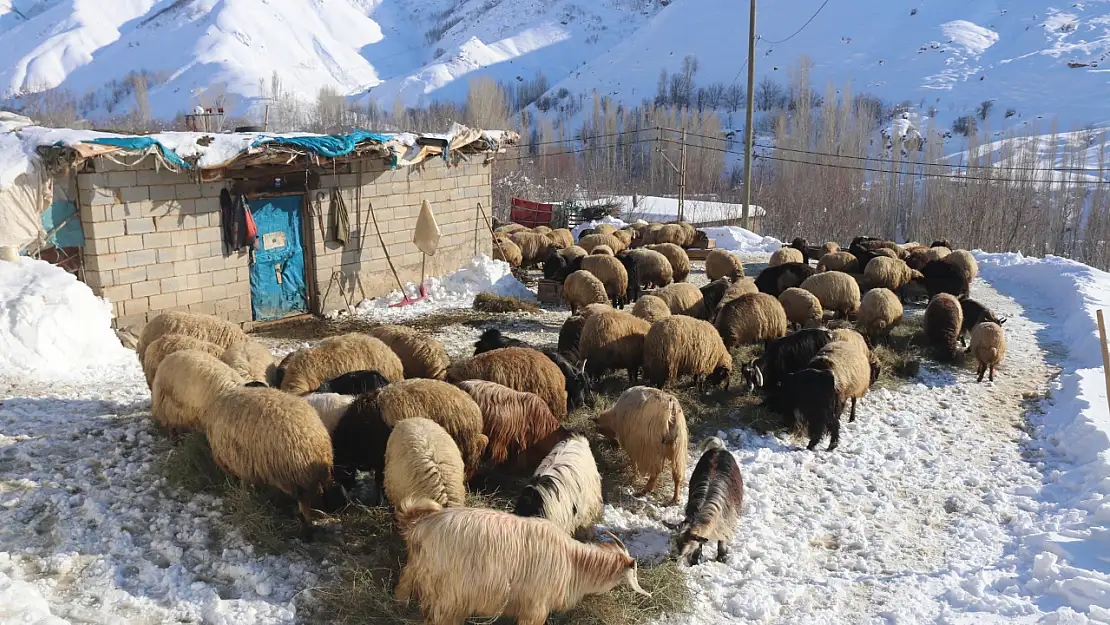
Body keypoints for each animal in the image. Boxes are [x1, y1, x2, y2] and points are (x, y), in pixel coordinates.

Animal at [206, 386, 330, 537]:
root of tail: (314, 446)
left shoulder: (238, 463)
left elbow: (243, 484)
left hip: (293, 477)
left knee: (304, 506)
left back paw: (305, 532)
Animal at [395, 499, 648, 625]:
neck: (574, 563)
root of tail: (420, 527)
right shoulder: (535, 608)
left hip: (416, 571)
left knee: (404, 586)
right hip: (450, 595)